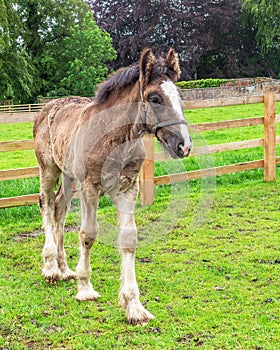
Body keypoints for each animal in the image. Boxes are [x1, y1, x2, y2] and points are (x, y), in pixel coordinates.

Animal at [34, 47, 192, 326]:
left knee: (60, 208)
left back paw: (65, 269)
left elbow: (128, 239)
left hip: (68, 175)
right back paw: (51, 267)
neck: (114, 138)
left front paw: (135, 307)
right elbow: (88, 234)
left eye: (179, 97)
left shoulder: (127, 190)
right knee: (46, 204)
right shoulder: (90, 187)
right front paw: (85, 288)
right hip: (49, 169)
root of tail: (48, 107)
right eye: (154, 98)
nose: (184, 146)